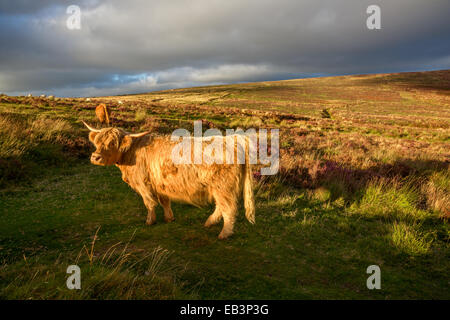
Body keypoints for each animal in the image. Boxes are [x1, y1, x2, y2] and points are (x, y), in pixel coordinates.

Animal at [82, 121, 255, 239]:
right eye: (97, 142)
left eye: (112, 143)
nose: (95, 157)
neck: (131, 153)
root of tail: (233, 140)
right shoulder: (160, 183)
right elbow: (164, 201)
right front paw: (169, 218)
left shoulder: (142, 183)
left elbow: (149, 203)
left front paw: (150, 221)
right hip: (218, 188)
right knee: (221, 206)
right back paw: (209, 222)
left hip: (223, 186)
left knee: (228, 208)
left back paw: (224, 233)